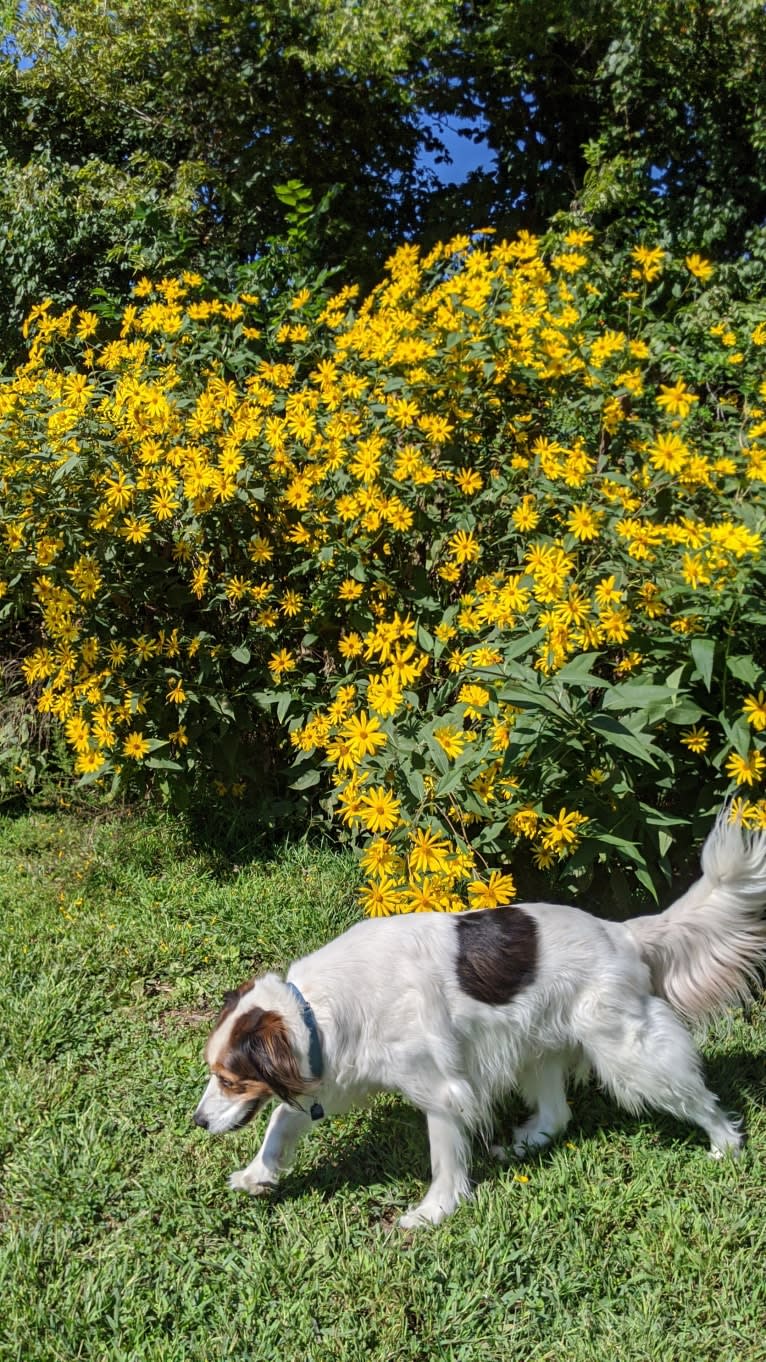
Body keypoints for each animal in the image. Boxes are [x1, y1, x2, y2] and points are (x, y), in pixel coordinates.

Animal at [192, 811, 763, 1231]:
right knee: (558, 1114)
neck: (315, 1007)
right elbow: (280, 1122)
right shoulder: (330, 1075)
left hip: (630, 1052)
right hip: (534, 1046)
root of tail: (621, 932)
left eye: (229, 1080)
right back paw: (526, 1142)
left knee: (695, 1095)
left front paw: (434, 1212)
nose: (197, 1122)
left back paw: (725, 1144)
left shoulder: (442, 1091)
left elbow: (444, 1160)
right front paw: (257, 1174)